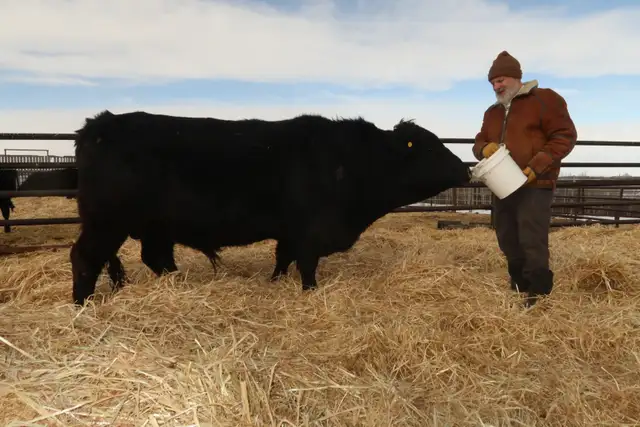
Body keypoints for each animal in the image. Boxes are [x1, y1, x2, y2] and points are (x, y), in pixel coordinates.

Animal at [70, 110, 471, 305]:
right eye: (432, 147)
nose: (466, 169)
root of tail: (99, 124)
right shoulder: (311, 231)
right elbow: (306, 266)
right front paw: (309, 293)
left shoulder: (290, 232)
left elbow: (283, 258)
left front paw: (275, 282)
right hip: (107, 221)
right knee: (85, 258)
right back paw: (81, 305)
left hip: (151, 226)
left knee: (155, 258)